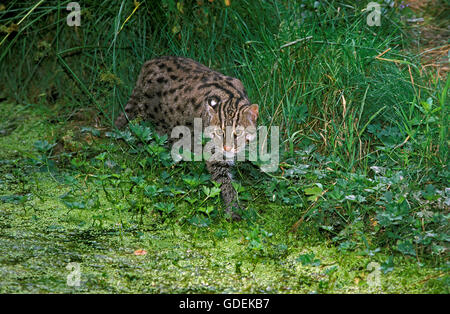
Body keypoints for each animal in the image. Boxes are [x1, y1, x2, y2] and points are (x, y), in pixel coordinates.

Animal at [114, 55, 258, 221]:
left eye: (238, 133)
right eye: (219, 133)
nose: (227, 148)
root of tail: (150, 63)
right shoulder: (214, 153)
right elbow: (225, 183)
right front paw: (233, 209)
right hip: (153, 121)